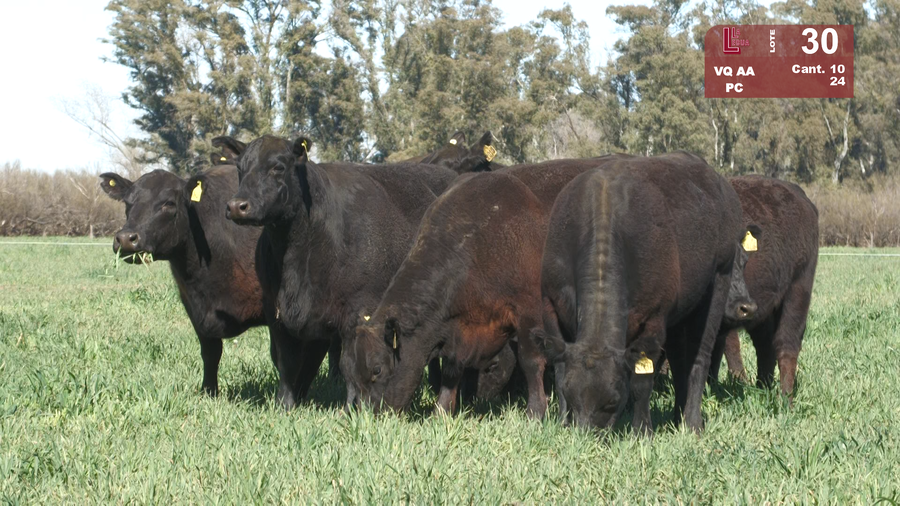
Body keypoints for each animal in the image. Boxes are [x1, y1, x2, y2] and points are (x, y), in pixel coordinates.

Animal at [99, 151, 267, 397]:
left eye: (168, 203)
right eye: (128, 203)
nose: (126, 239)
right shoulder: (194, 308)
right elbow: (210, 353)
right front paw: (209, 392)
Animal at [217, 134, 460, 409]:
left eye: (278, 167)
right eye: (239, 168)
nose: (237, 206)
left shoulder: (358, 311)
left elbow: (350, 363)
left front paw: (352, 408)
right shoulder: (276, 311)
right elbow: (288, 362)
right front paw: (284, 406)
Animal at [531, 152, 757, 434]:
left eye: (612, 400)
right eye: (572, 395)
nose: (586, 435)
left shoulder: (654, 319)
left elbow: (643, 381)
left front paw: (642, 431)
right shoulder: (550, 305)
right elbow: (561, 367)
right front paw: (563, 422)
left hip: (718, 282)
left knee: (700, 357)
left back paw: (692, 422)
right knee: (680, 361)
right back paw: (677, 415)